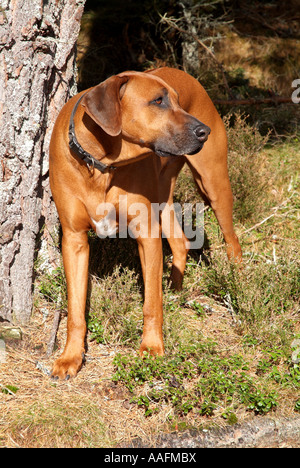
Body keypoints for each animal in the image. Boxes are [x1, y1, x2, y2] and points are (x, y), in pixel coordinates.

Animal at [48, 67, 241, 378]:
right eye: (157, 101)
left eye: (176, 101)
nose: (204, 132)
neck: (101, 163)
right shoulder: (74, 239)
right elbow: (75, 311)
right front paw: (70, 357)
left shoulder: (146, 235)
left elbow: (151, 303)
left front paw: (151, 347)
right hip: (163, 192)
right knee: (180, 242)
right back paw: (174, 290)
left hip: (213, 181)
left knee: (232, 242)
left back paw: (238, 286)